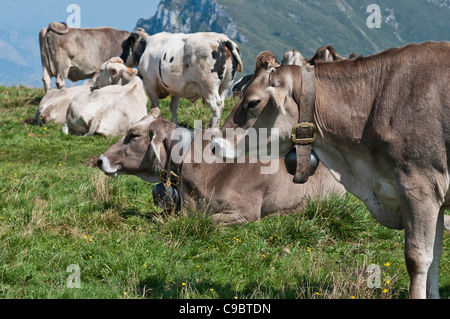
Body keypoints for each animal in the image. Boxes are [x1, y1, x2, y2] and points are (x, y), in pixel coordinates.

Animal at [213, 40, 450, 300]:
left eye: (253, 102)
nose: (215, 143)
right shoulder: (434, 197)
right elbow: (435, 256)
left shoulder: (419, 187)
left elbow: (417, 258)